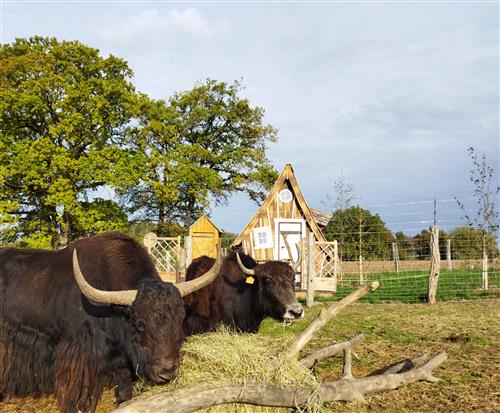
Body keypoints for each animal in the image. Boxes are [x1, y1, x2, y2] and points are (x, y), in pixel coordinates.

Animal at [0, 230, 219, 410]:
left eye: (179, 320)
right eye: (140, 324)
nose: (167, 373)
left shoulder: (121, 360)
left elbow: (124, 389)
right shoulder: (79, 356)